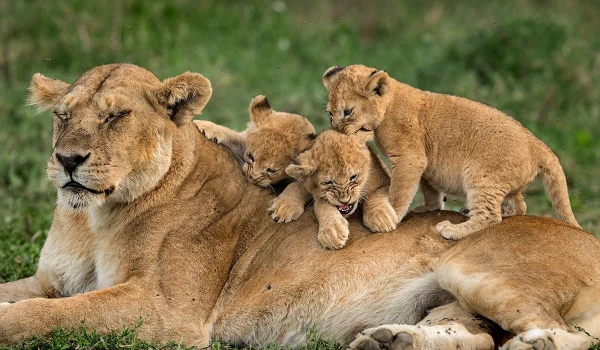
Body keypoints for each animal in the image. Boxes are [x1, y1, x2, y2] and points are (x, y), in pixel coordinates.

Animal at [0, 63, 596, 350]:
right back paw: (391, 340)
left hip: (470, 266)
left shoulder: (169, 311)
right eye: (62, 115)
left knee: (572, 336)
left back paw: (534, 345)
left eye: (116, 117)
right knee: (475, 338)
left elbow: (47, 315)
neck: (95, 218)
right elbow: (28, 296)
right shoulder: (54, 280)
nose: (67, 159)